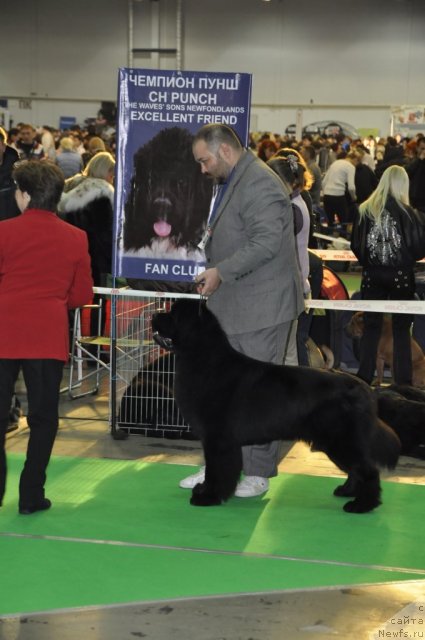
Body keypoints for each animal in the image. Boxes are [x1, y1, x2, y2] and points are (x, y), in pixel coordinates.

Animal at [153, 300, 400, 516]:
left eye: (173, 314)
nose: (154, 314)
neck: (204, 360)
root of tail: (365, 388)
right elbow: (215, 469)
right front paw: (204, 490)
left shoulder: (219, 439)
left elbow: (218, 470)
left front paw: (209, 497)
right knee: (357, 469)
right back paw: (347, 491)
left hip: (341, 440)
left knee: (368, 471)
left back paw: (362, 505)